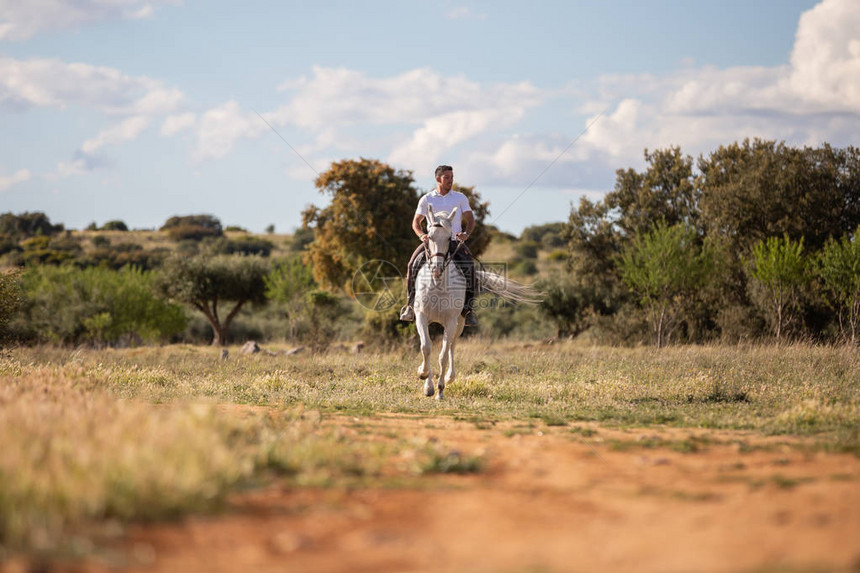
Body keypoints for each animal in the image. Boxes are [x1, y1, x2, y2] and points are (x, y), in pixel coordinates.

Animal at [414, 204, 536, 398]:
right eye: (429, 236)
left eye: (449, 238)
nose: (437, 269)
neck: (437, 284)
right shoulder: (421, 316)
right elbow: (426, 348)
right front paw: (425, 379)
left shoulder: (451, 321)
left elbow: (442, 355)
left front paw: (439, 390)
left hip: (459, 323)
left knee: (451, 346)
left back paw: (449, 378)